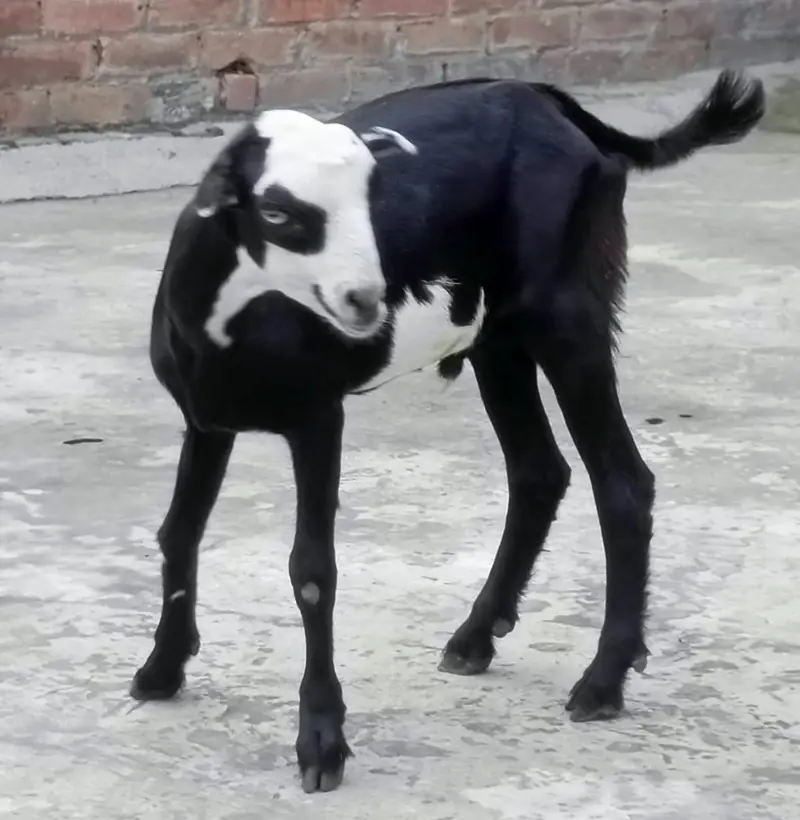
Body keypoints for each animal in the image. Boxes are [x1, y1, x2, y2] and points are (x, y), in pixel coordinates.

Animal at [129, 70, 765, 793]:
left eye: (370, 199)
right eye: (278, 212)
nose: (366, 300)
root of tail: (549, 104)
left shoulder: (318, 416)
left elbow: (312, 570)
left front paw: (321, 740)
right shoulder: (205, 418)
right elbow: (179, 532)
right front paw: (162, 669)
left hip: (568, 313)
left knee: (623, 482)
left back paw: (603, 680)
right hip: (499, 340)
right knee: (539, 471)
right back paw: (477, 636)